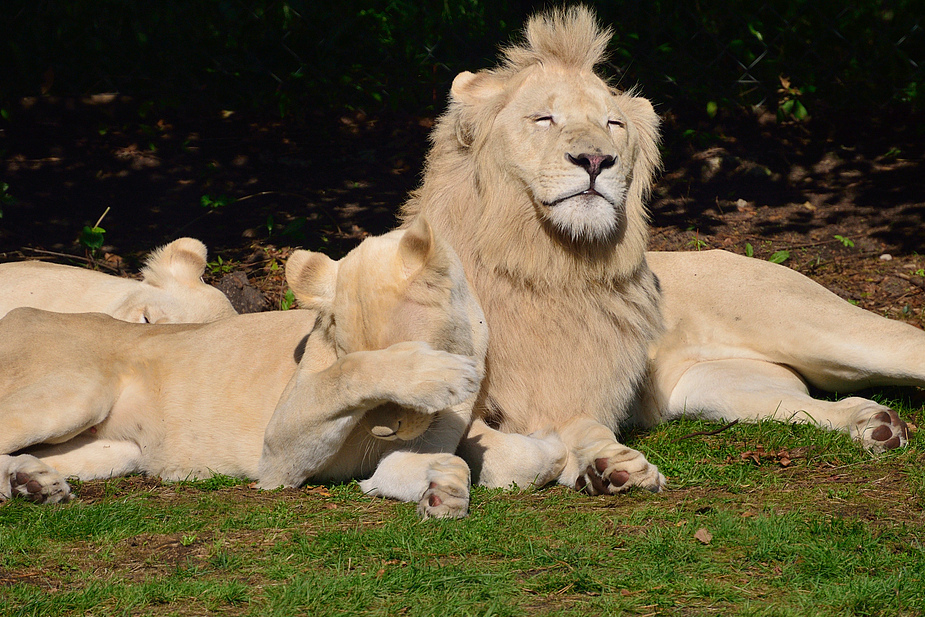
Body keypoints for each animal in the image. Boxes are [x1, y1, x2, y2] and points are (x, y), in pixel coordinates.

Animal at [400, 7, 912, 494]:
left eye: (613, 124)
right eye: (544, 118)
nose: (596, 160)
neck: (547, 264)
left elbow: (561, 435)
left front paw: (600, 462)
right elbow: (520, 453)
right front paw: (589, 466)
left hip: (823, 332)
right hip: (724, 389)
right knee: (816, 402)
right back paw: (874, 424)